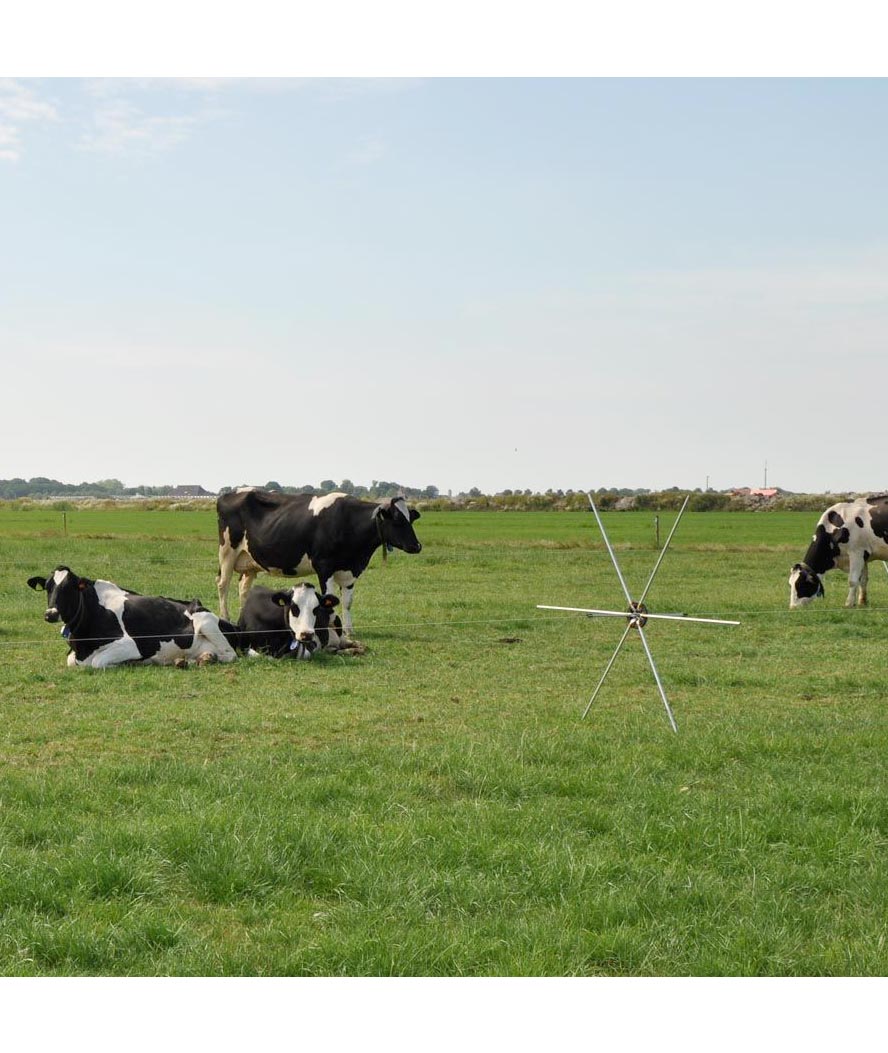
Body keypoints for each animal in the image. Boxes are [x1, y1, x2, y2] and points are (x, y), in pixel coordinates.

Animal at [27, 568, 238, 665]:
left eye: (70, 588)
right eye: (48, 587)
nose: (50, 614)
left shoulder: (129, 645)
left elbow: (97, 662)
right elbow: (72, 662)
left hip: (207, 622)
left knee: (230, 655)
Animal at [216, 486, 421, 631]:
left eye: (410, 519)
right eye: (397, 520)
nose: (417, 546)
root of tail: (229, 493)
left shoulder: (351, 570)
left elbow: (347, 602)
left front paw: (348, 631)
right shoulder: (324, 567)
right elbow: (329, 601)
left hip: (249, 561)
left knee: (243, 589)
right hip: (227, 551)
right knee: (223, 584)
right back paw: (226, 618)